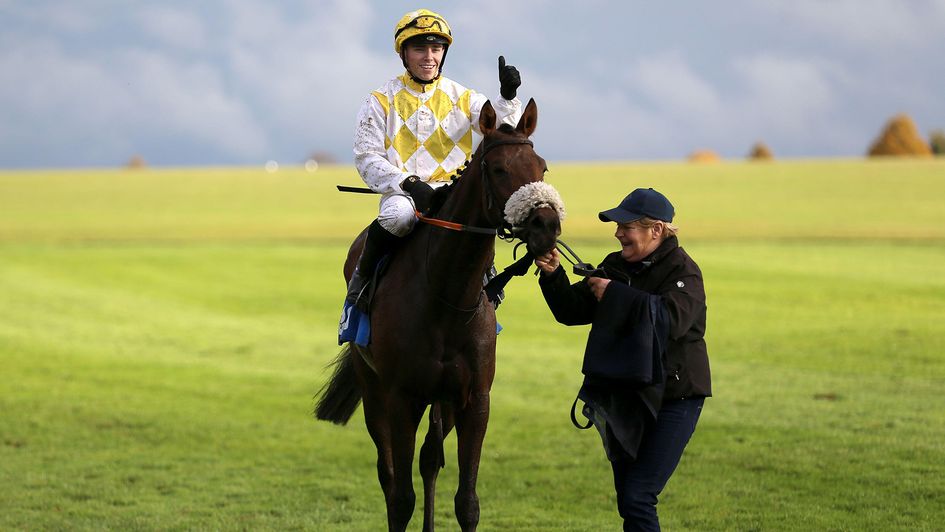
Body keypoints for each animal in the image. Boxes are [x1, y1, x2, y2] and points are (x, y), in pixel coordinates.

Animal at [314, 97, 560, 528]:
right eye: (499, 169)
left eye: (541, 167)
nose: (547, 223)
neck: (448, 300)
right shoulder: (401, 398)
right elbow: (400, 497)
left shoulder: (474, 400)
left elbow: (467, 501)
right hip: (374, 388)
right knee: (388, 473)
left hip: (442, 402)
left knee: (430, 461)